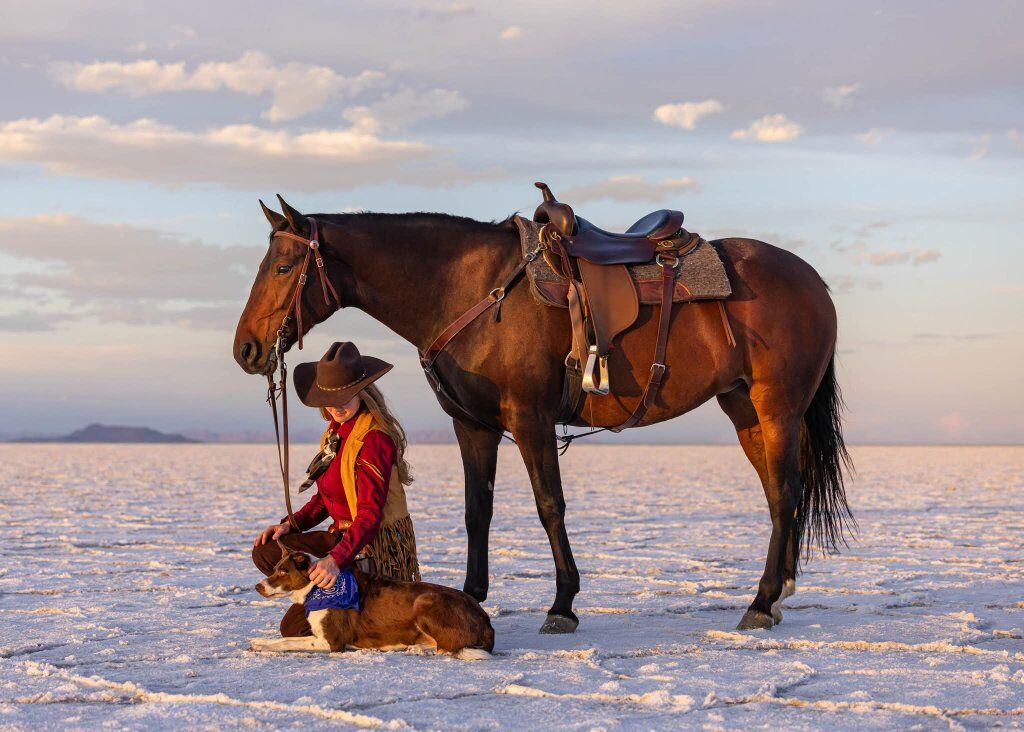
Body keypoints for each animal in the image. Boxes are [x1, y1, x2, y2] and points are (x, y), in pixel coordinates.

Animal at [233, 196, 852, 634]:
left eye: (285, 266)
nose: (246, 349)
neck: (467, 289)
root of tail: (814, 281)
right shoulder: (473, 426)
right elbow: (476, 511)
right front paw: (470, 596)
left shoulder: (529, 418)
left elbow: (549, 506)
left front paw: (562, 604)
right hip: (744, 409)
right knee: (780, 493)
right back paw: (778, 593)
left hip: (777, 408)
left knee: (786, 494)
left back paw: (762, 601)